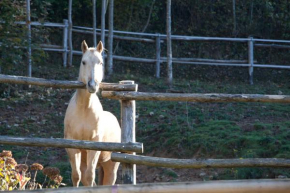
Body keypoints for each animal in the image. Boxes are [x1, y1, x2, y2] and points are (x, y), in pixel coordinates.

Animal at [64, 40, 120, 186]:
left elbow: (90, 177)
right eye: (83, 62)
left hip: (110, 166)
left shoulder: (94, 147)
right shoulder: (72, 147)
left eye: (100, 62)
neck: (84, 109)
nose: (92, 85)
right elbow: (76, 176)